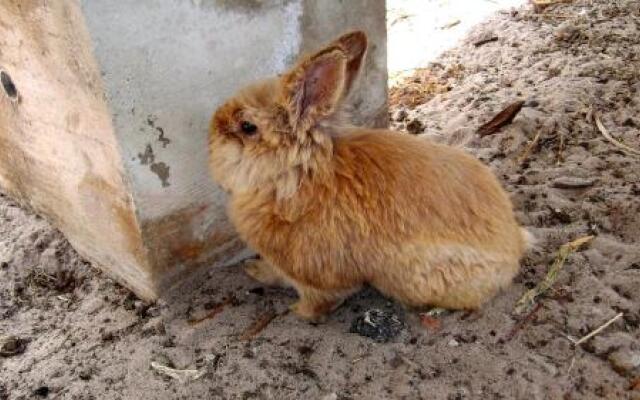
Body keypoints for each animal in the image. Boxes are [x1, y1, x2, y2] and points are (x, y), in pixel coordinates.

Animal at [209, 30, 528, 322]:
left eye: (247, 127)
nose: (211, 137)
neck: (296, 177)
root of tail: (514, 249)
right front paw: (255, 270)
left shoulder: (316, 276)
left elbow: (319, 300)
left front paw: (298, 313)